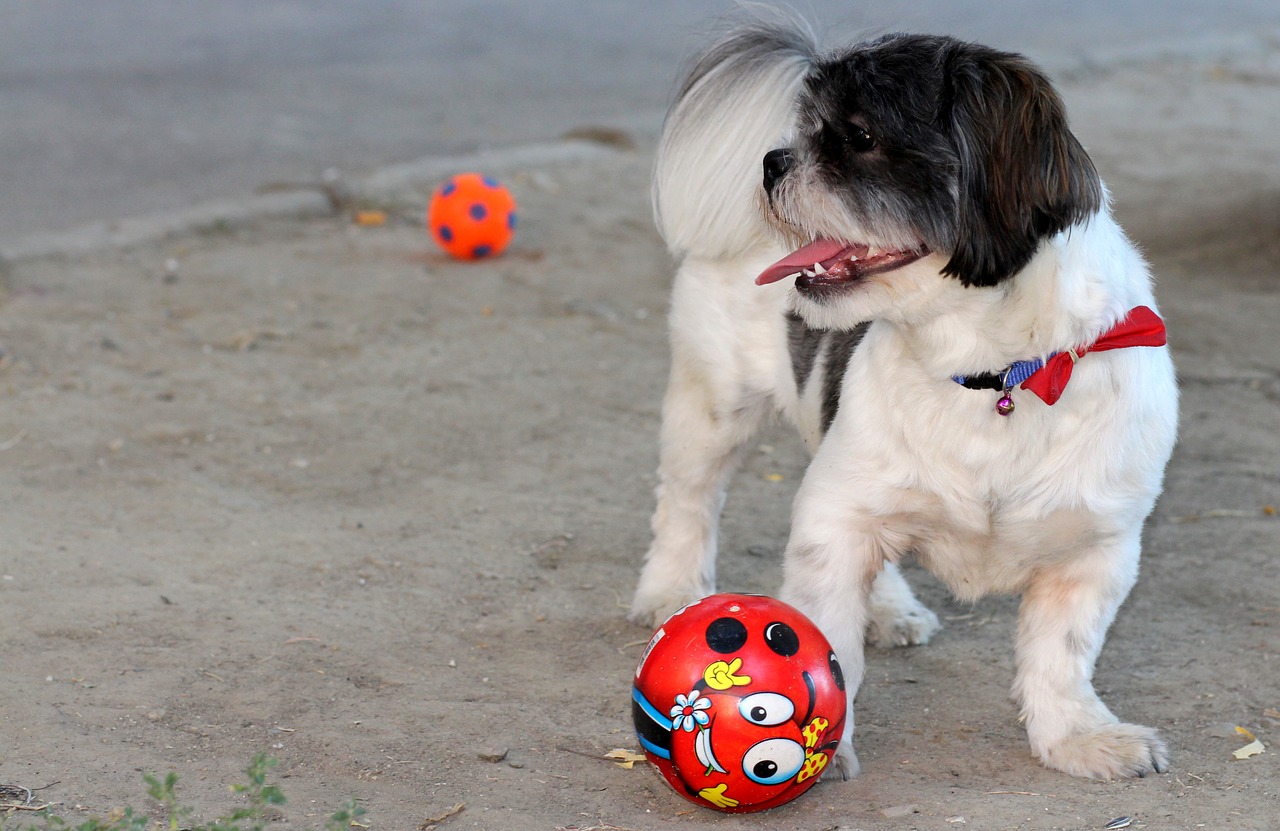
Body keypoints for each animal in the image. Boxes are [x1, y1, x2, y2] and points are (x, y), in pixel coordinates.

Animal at [629, 16, 1177, 783]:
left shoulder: (1097, 549)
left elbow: (1061, 654)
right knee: (688, 500)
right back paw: (672, 588)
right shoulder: (835, 516)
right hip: (713, 406)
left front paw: (1077, 736)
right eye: (814, 131)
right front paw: (822, 746)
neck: (992, 375)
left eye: (859, 136)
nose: (772, 161)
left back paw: (889, 607)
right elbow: (825, 638)